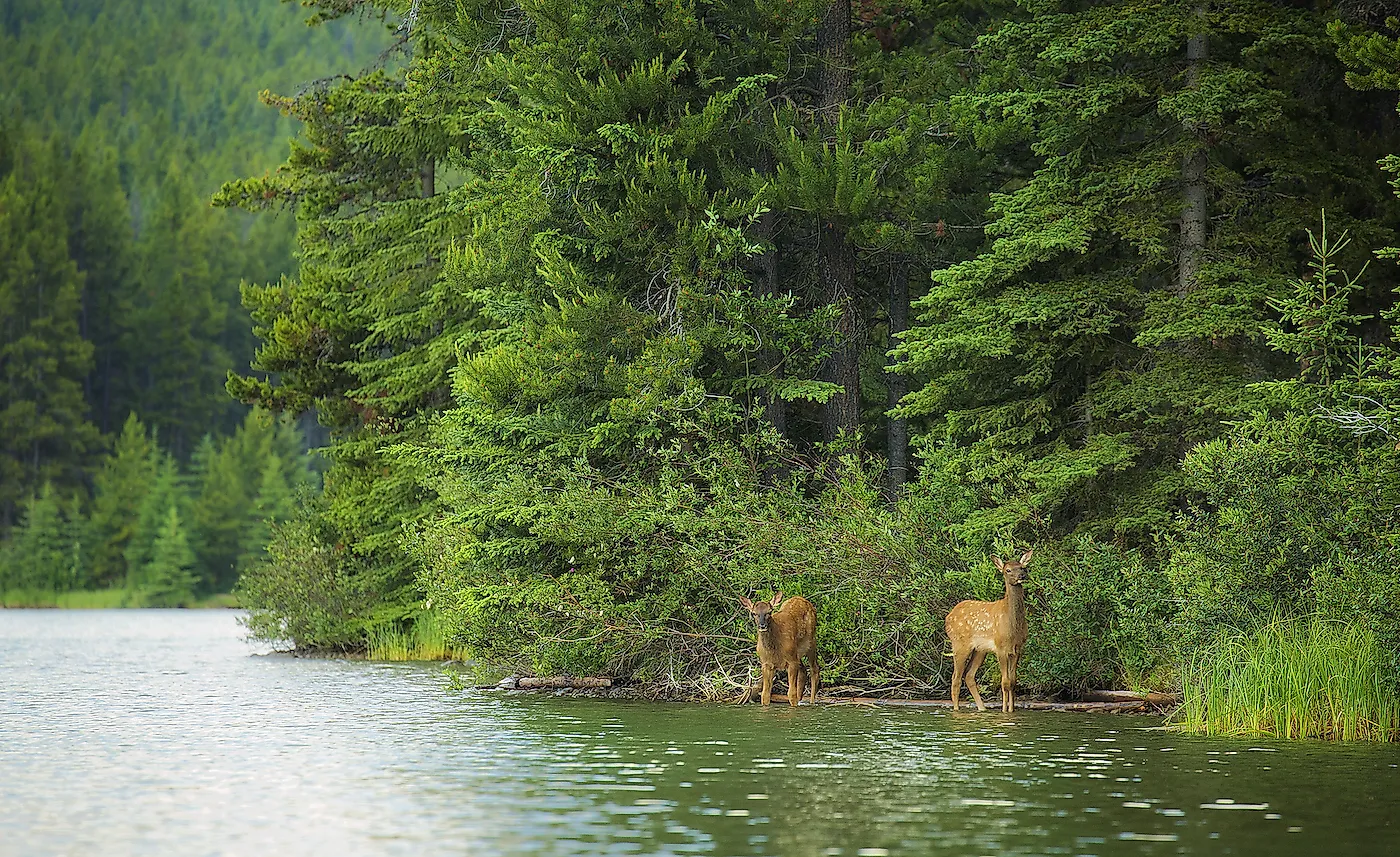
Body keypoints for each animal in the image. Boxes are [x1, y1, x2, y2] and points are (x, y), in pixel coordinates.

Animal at [945, 549, 1034, 712]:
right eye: (1008, 570)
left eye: (1023, 567)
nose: (1022, 576)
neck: (1013, 627)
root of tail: (948, 617)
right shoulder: (1000, 647)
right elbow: (1005, 682)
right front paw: (1004, 711)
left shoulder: (1017, 649)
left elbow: (1013, 682)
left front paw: (1011, 710)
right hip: (959, 644)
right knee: (956, 678)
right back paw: (957, 710)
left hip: (980, 649)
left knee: (969, 675)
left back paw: (982, 708)